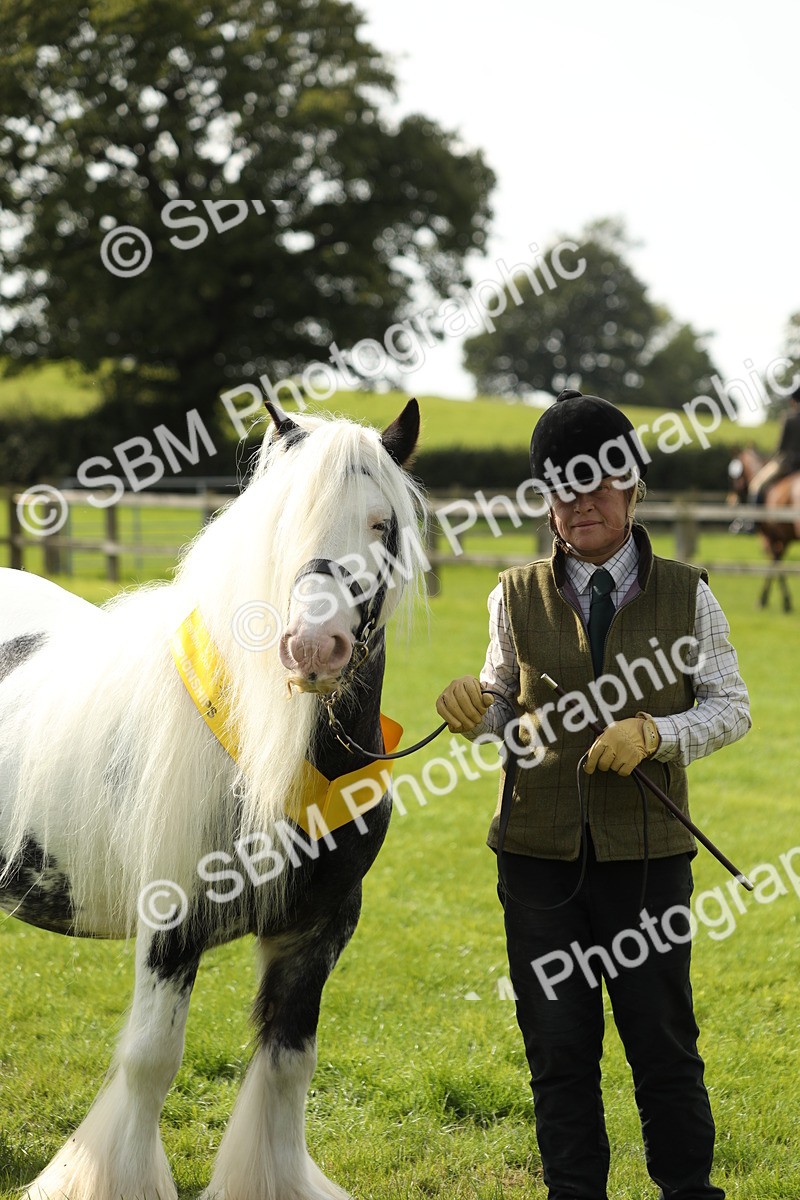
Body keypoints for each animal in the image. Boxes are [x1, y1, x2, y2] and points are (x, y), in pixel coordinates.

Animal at [0, 398, 426, 1200]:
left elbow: (288, 1066)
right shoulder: (170, 922)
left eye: (381, 524)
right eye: (280, 522)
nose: (313, 646)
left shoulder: (318, 929)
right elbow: (150, 1062)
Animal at [728, 446, 800, 612]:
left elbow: (774, 563)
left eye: (734, 476)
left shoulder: (769, 537)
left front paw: (764, 599)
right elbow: (777, 562)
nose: (732, 500)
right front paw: (784, 601)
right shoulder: (783, 538)